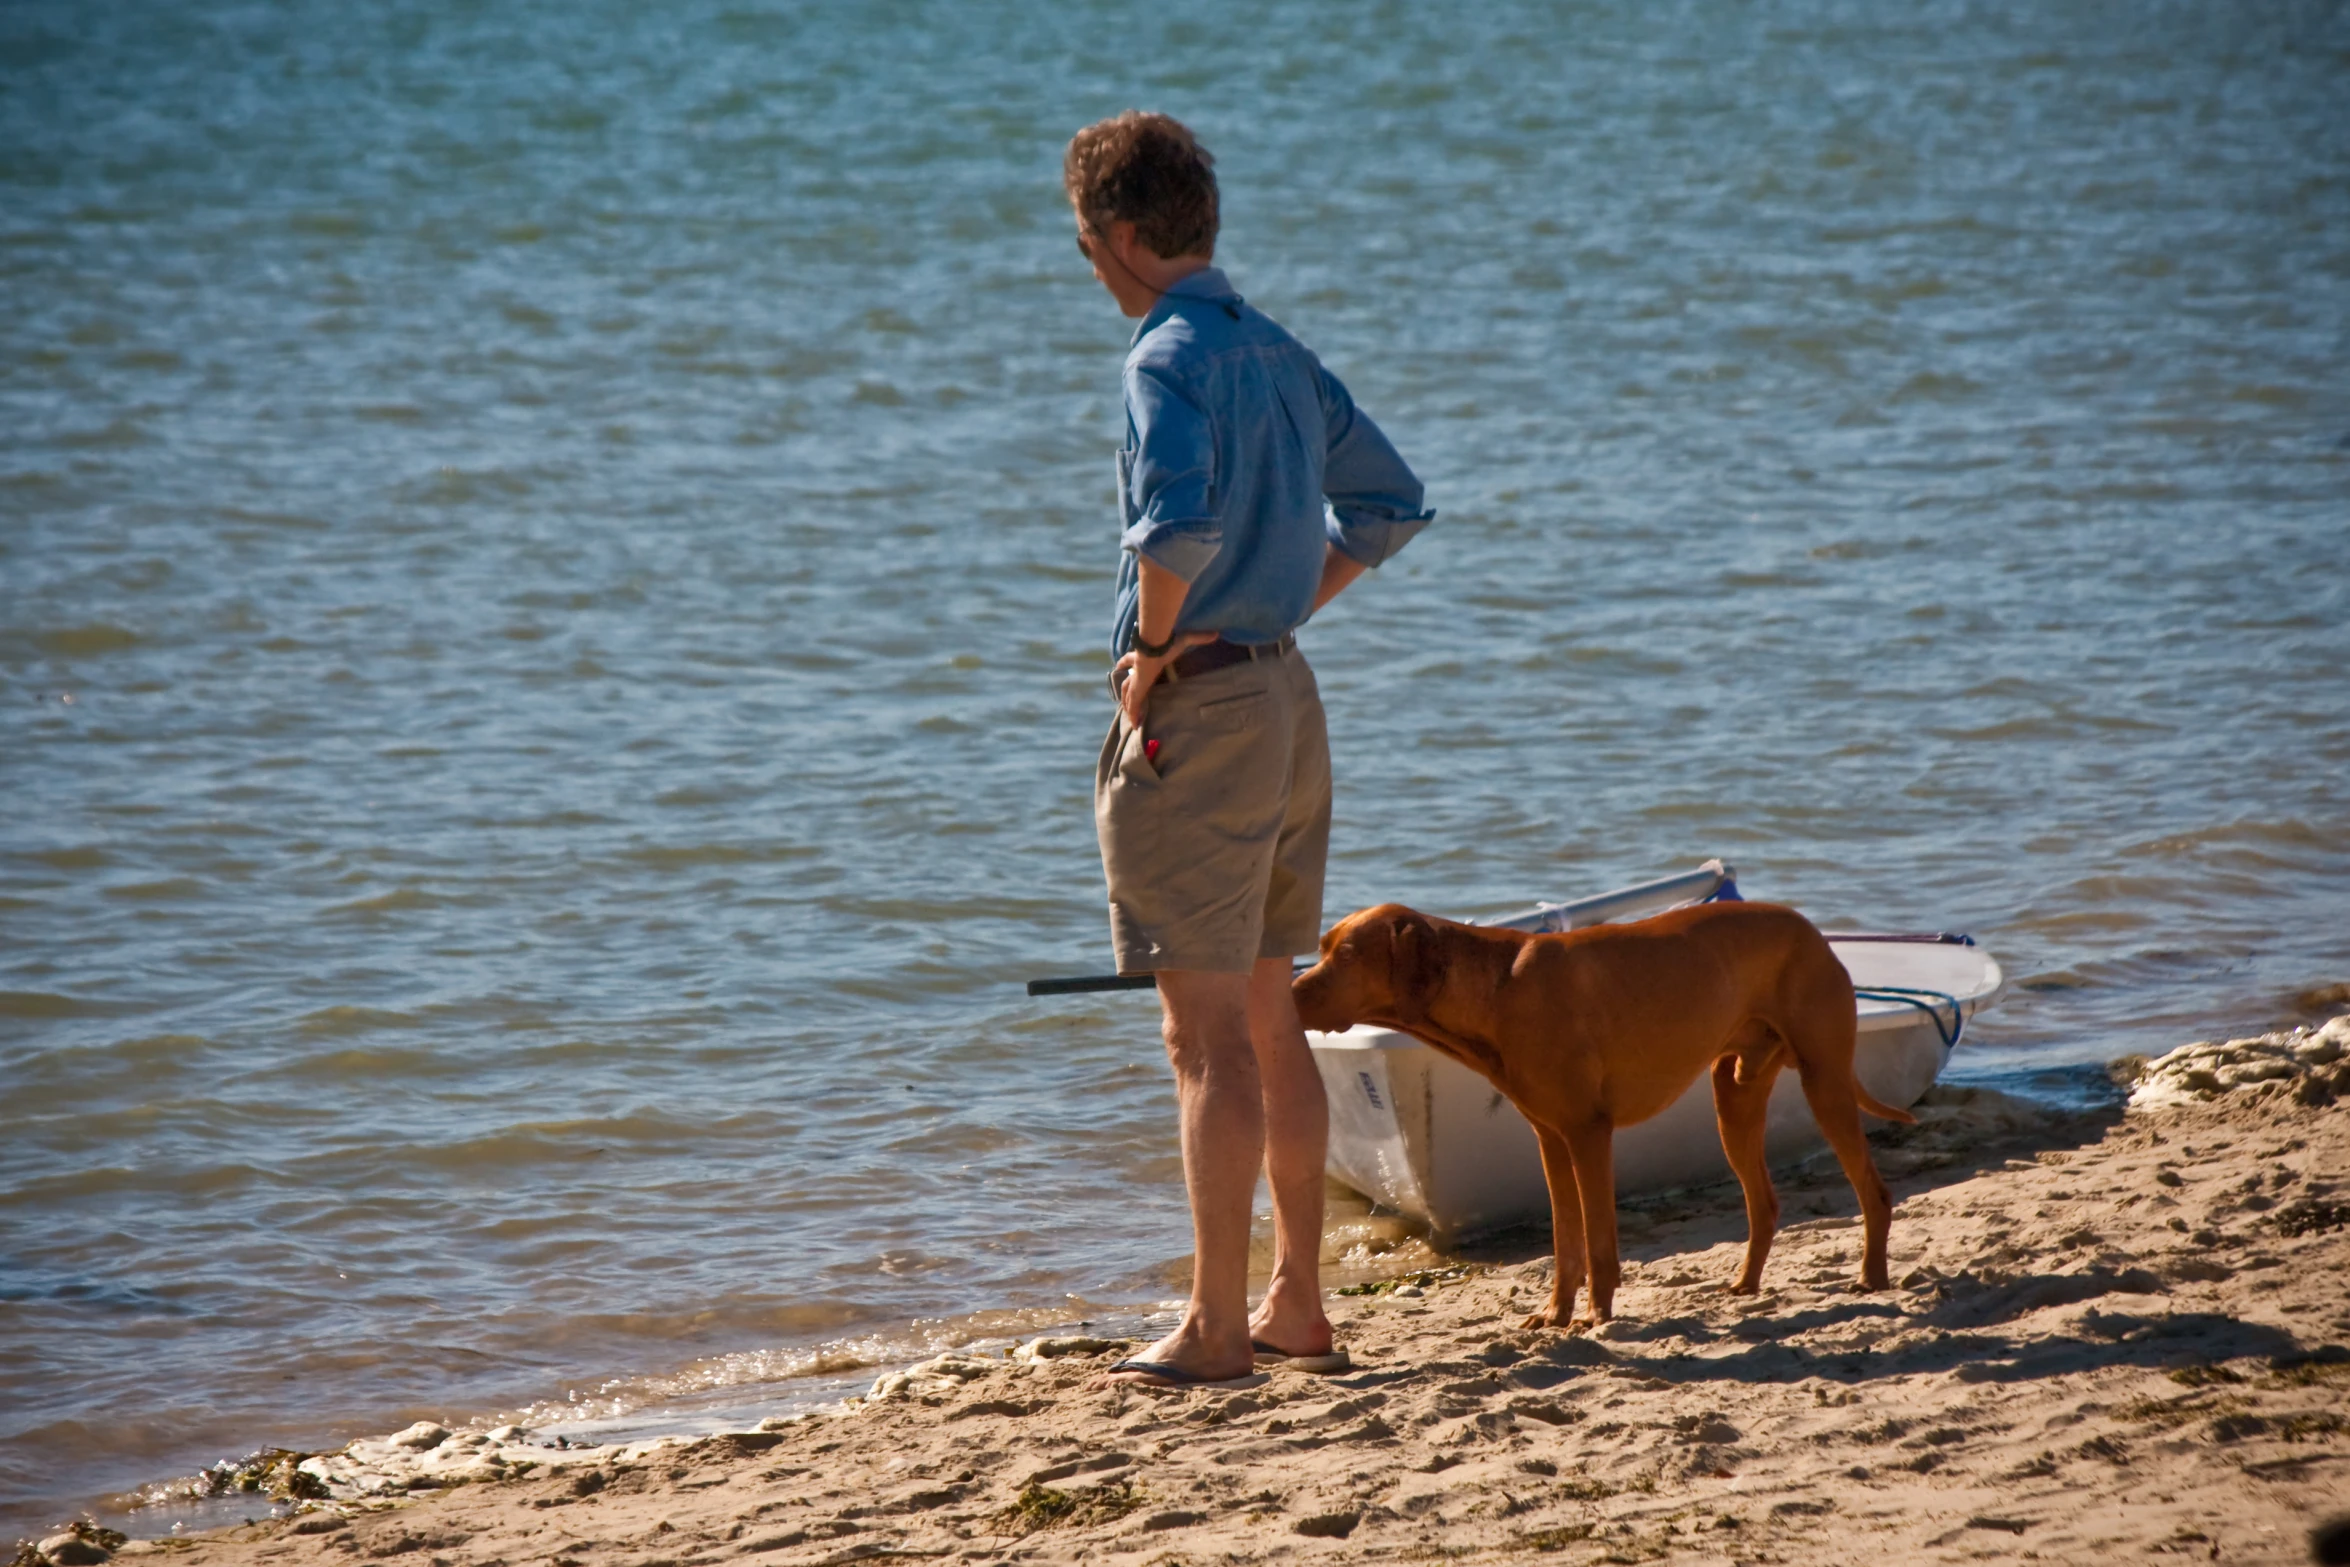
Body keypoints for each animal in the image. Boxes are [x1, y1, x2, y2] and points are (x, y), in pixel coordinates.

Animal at [1297, 902, 1917, 1334]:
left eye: (1346, 954)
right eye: (1321, 947)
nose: (1292, 991)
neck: (1497, 990)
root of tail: (1809, 927)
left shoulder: (1587, 1133)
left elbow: (1596, 1239)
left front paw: (1596, 1313)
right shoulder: (1551, 1139)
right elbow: (1565, 1239)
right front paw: (1556, 1313)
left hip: (1824, 1083)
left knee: (1874, 1190)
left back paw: (1871, 1277)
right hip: (1734, 1100)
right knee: (1763, 1203)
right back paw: (1745, 1283)